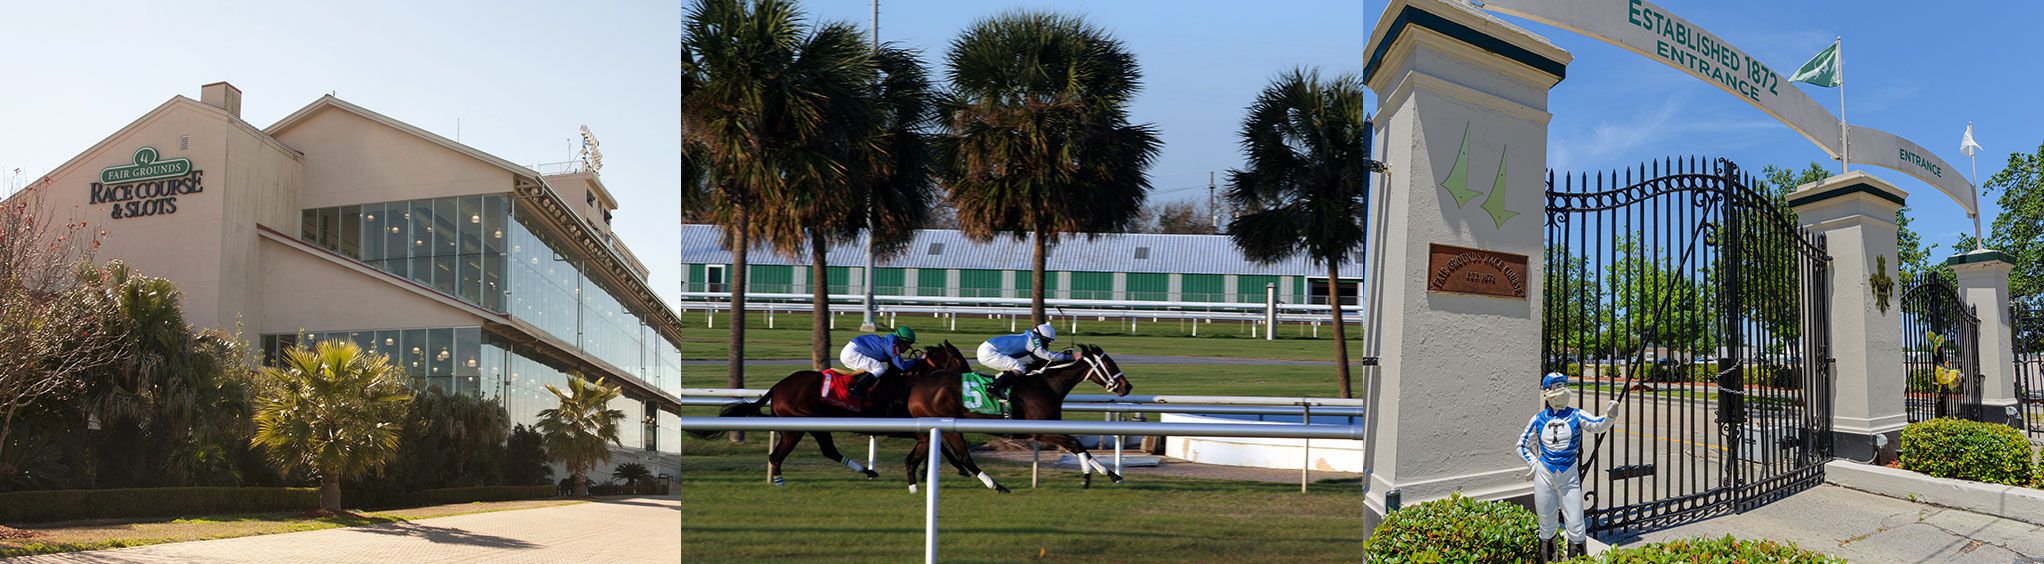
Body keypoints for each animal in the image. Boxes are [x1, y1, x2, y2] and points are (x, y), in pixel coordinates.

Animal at [907, 339, 1136, 494]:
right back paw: (997, 485)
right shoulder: (1039, 431)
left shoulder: (1052, 427)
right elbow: (1077, 444)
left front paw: (1108, 476)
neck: (1046, 384)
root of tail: (916, 389)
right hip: (950, 427)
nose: (1127, 387)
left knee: (912, 459)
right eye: (1109, 364)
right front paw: (1091, 477)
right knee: (965, 457)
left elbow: (1079, 447)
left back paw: (913, 488)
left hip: (927, 431)